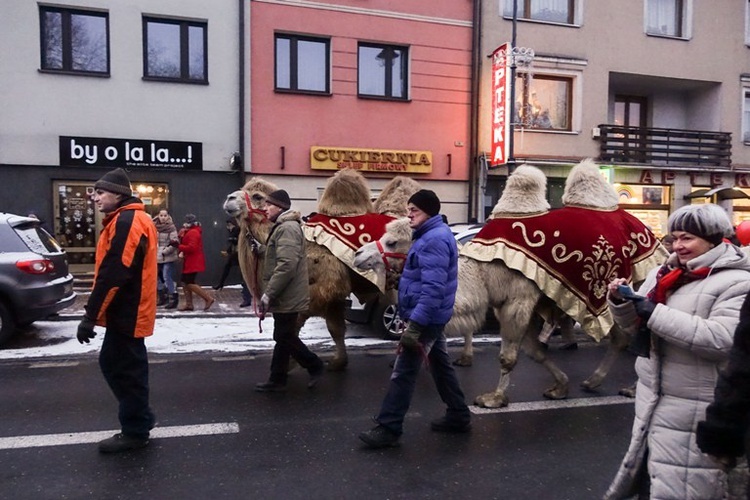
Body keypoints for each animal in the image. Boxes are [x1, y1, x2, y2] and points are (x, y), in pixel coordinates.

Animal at [223, 170, 424, 370]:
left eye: (257, 196)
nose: (229, 198)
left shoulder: (325, 288)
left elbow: (295, 328)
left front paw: (292, 364)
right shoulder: (334, 297)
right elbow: (336, 329)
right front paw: (338, 362)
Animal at [354, 160, 668, 406]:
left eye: (392, 241)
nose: (359, 255)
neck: (483, 271)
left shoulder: (518, 299)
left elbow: (509, 356)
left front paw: (493, 398)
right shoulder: (509, 302)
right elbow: (535, 352)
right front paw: (560, 386)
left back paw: (629, 388)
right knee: (621, 336)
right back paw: (595, 381)